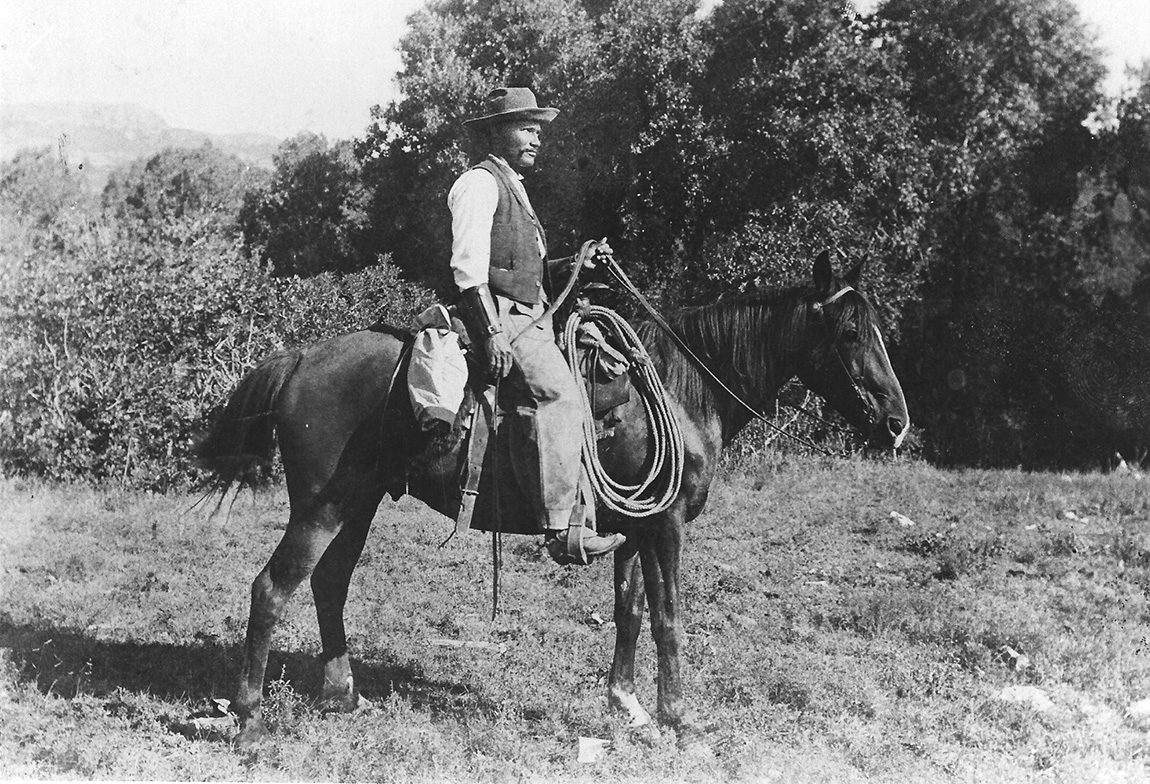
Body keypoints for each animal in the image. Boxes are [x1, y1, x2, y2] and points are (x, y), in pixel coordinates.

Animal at [197, 250, 910, 744]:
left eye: (877, 327)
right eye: (850, 333)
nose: (897, 422)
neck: (682, 391)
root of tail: (299, 358)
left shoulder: (636, 525)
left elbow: (630, 611)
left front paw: (626, 705)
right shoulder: (669, 525)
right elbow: (669, 618)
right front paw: (679, 719)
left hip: (360, 502)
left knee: (329, 583)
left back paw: (343, 694)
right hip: (323, 505)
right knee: (273, 586)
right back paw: (251, 717)